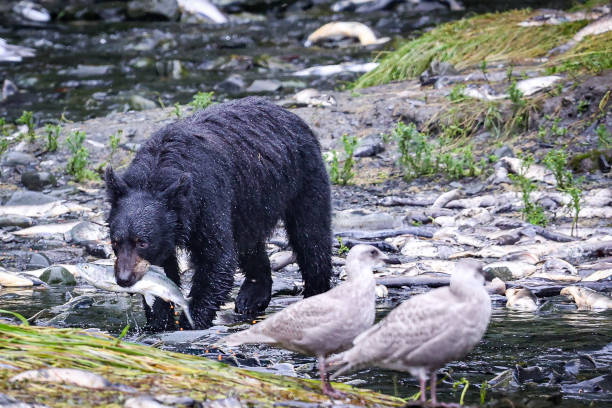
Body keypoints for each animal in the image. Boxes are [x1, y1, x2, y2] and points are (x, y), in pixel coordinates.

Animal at [107, 96, 332, 332]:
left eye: (142, 242)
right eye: (115, 242)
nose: (124, 279)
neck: (156, 175)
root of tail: (289, 113)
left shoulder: (207, 199)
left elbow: (217, 258)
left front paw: (191, 320)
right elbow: (164, 270)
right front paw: (159, 319)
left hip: (303, 178)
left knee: (310, 234)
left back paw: (316, 292)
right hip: (249, 204)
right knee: (249, 245)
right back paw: (252, 296)